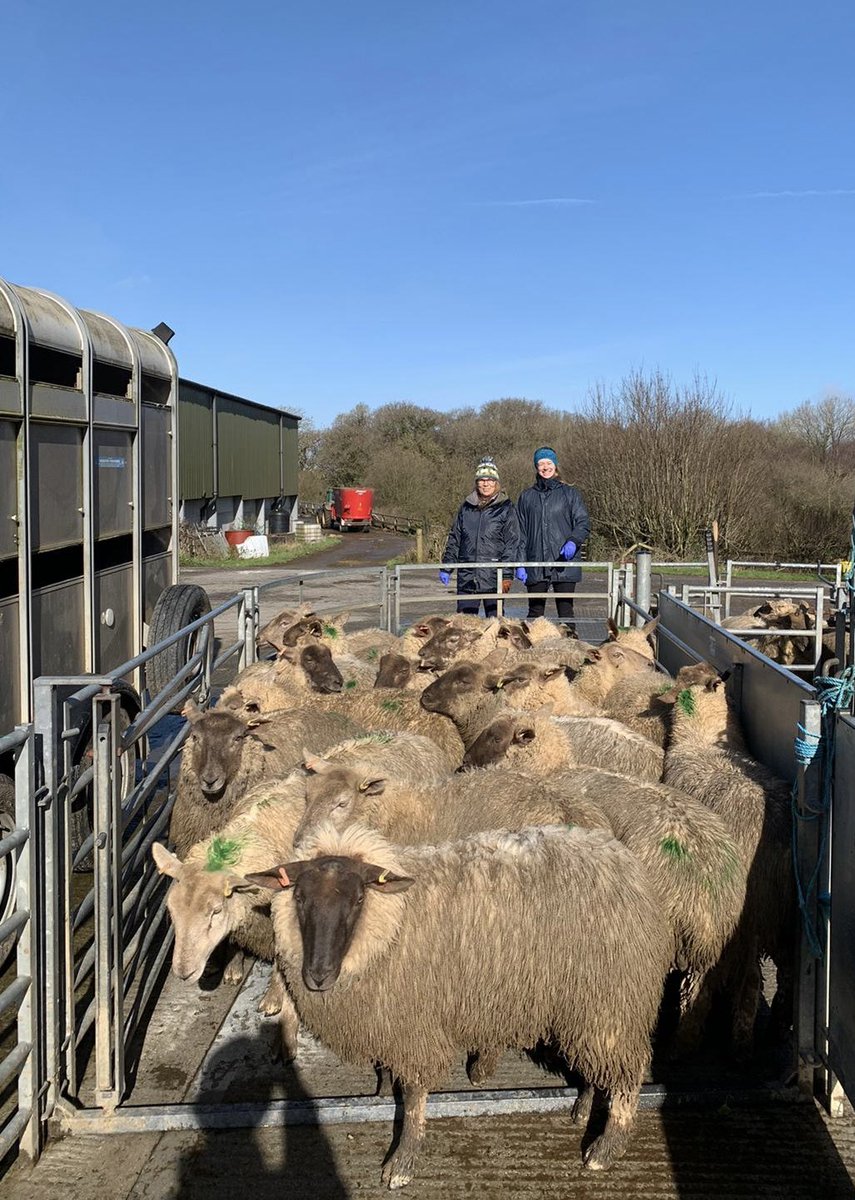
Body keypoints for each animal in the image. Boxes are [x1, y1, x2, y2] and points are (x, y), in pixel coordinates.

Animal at [247, 820, 672, 1185]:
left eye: (358, 899)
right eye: (299, 896)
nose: (317, 975)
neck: (394, 924)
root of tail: (625, 861)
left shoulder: (415, 1025)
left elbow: (414, 1098)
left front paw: (402, 1163)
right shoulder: (388, 1018)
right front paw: (382, 1086)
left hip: (612, 1002)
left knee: (627, 1075)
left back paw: (605, 1149)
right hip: (586, 1006)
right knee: (596, 1064)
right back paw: (583, 1108)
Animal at [662, 662, 792, 1056]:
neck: (701, 738)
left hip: (737, 918)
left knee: (738, 982)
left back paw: (702, 1042)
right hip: (788, 921)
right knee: (788, 980)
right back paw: (776, 1031)